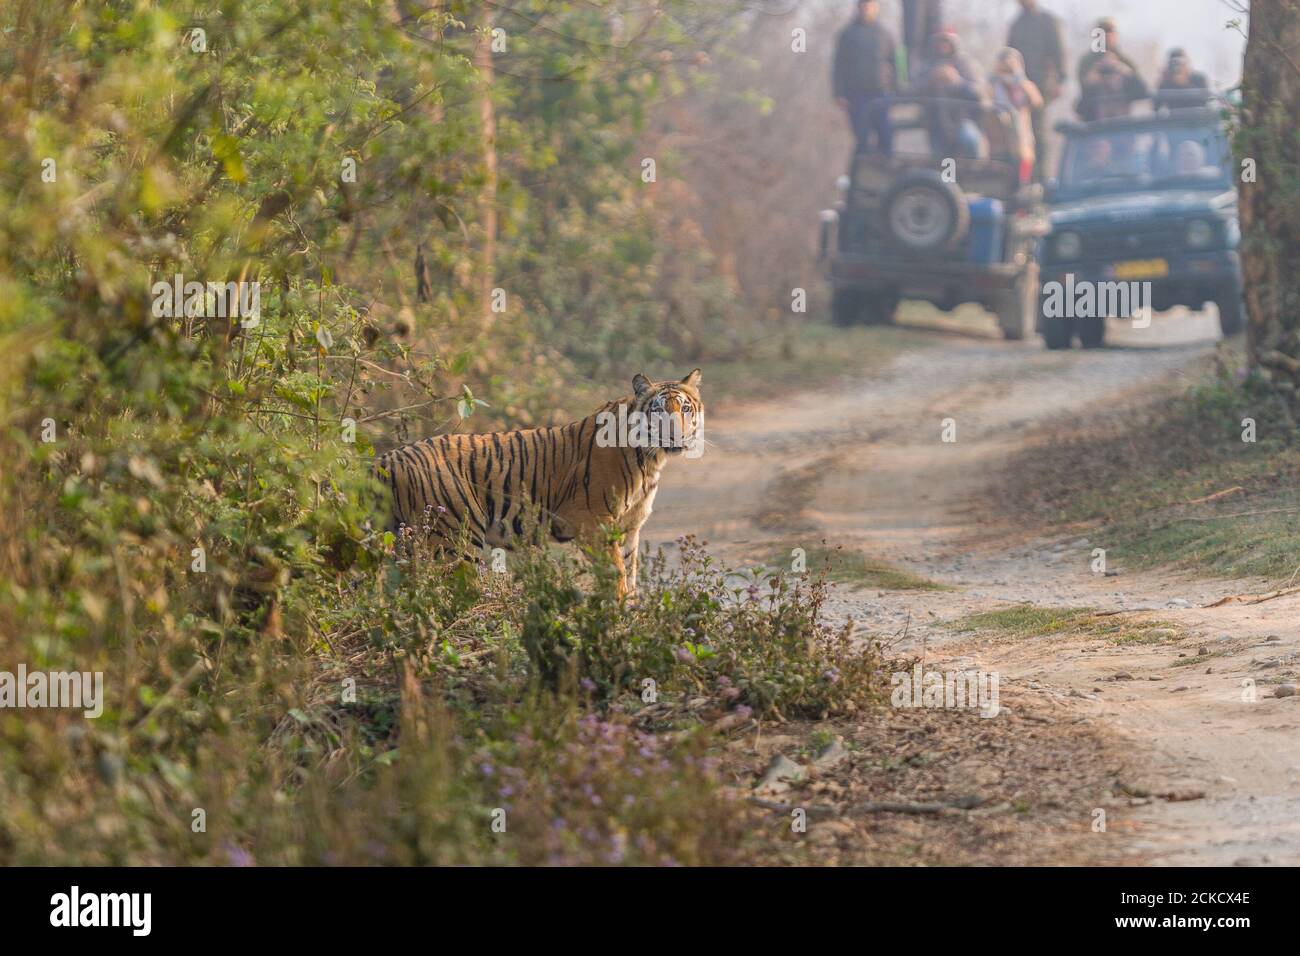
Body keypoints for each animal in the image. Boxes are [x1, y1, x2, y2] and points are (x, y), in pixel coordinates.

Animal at [374, 369, 704, 597]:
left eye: (685, 409)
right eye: (658, 409)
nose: (676, 434)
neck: (651, 459)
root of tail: (388, 458)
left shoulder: (628, 528)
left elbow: (630, 573)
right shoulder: (592, 523)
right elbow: (617, 574)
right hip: (453, 539)